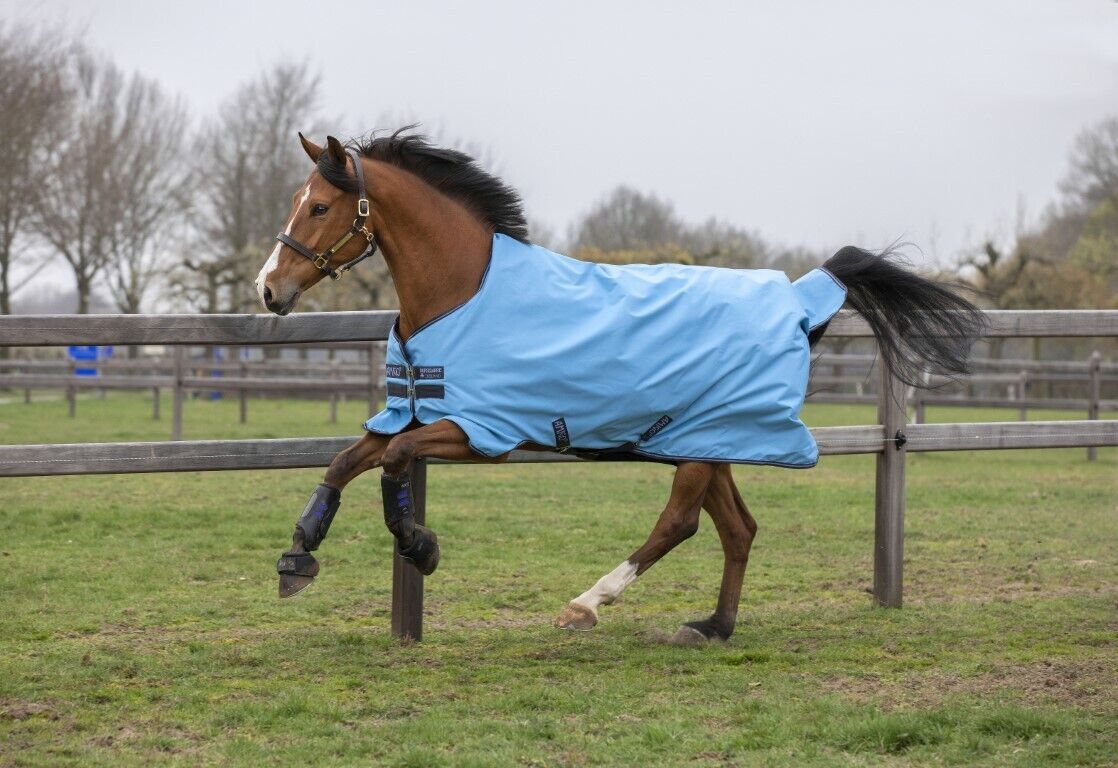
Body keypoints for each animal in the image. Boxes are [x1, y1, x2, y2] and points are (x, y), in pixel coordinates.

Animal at [259, 130, 985, 643]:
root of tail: (800, 299)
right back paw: (712, 627)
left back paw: (586, 605)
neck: (461, 293)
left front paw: (421, 545)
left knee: (681, 524)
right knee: (738, 529)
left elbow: (393, 463)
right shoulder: (408, 413)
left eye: (318, 206)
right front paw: (298, 558)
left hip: (698, 446)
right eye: (295, 203)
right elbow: (346, 460)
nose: (270, 289)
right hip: (709, 440)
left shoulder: (479, 430)